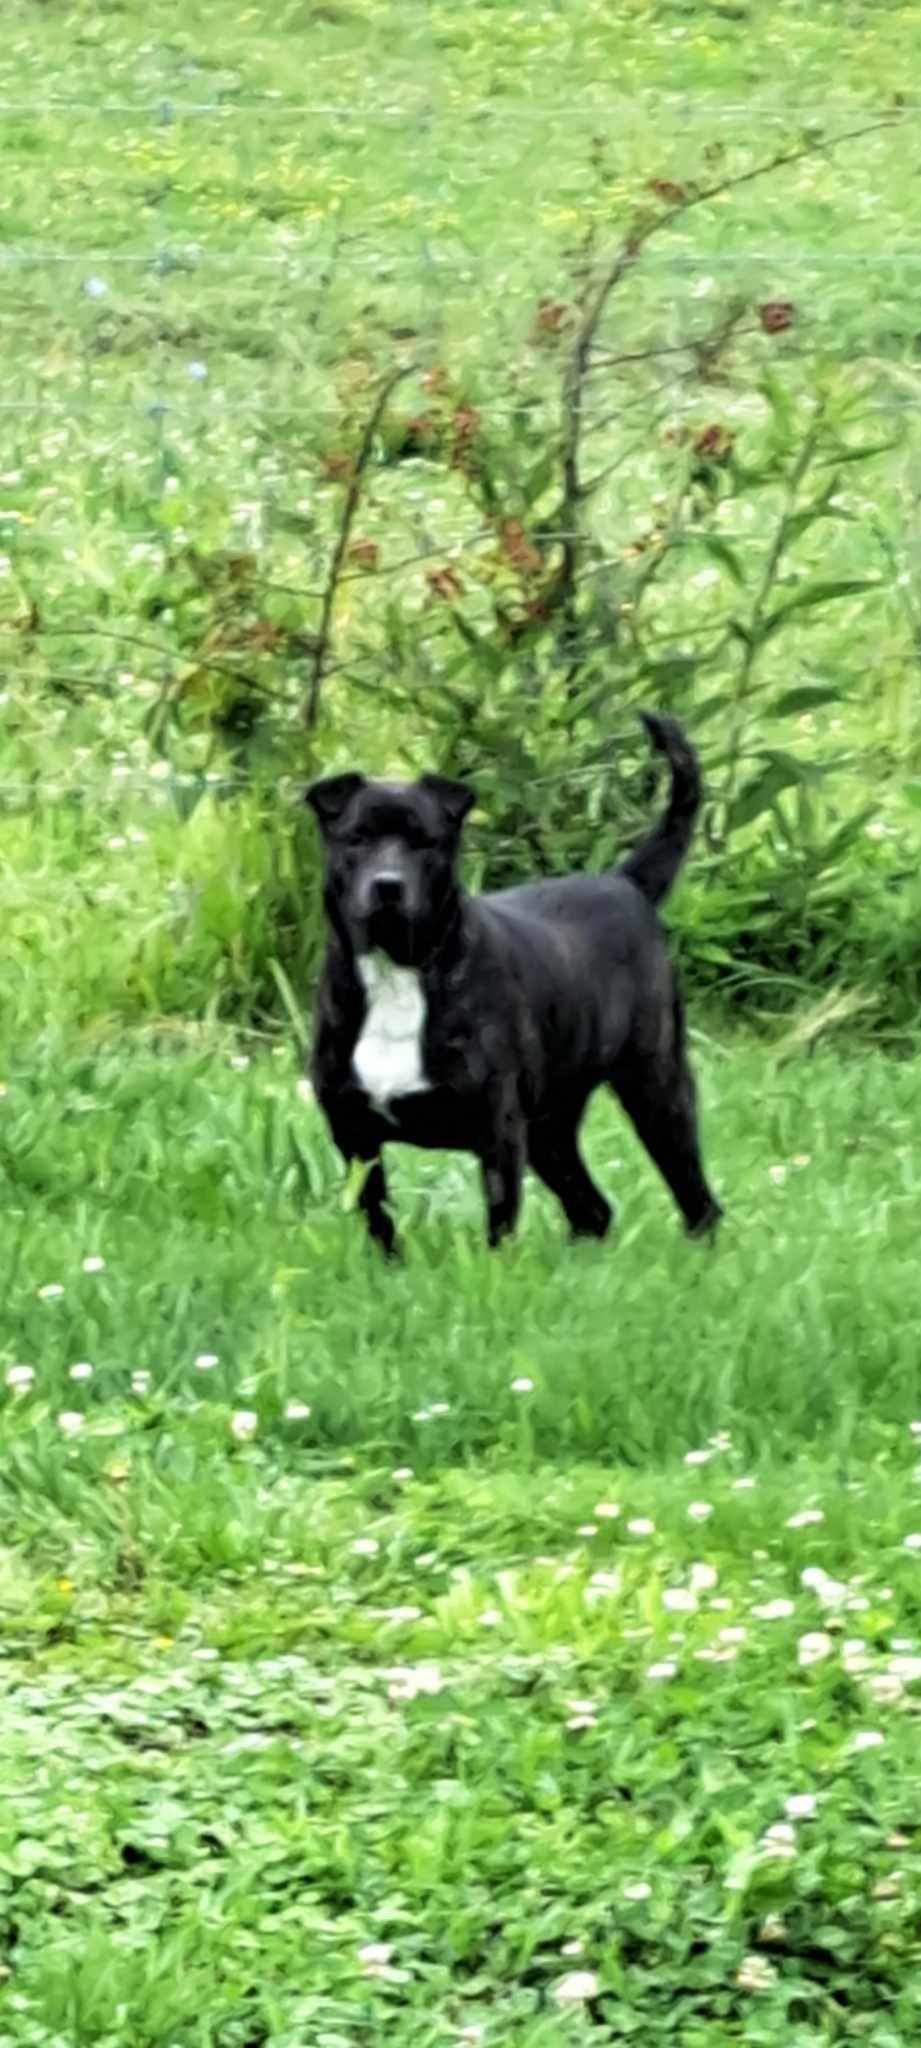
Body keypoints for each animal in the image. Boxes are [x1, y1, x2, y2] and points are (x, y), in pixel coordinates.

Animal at [304, 712, 724, 1253]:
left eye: (424, 842)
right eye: (356, 838)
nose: (388, 885)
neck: (399, 973)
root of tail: (626, 882)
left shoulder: (497, 1131)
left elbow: (499, 1223)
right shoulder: (354, 1132)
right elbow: (378, 1220)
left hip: (656, 1088)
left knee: (697, 1199)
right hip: (551, 1128)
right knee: (592, 1210)